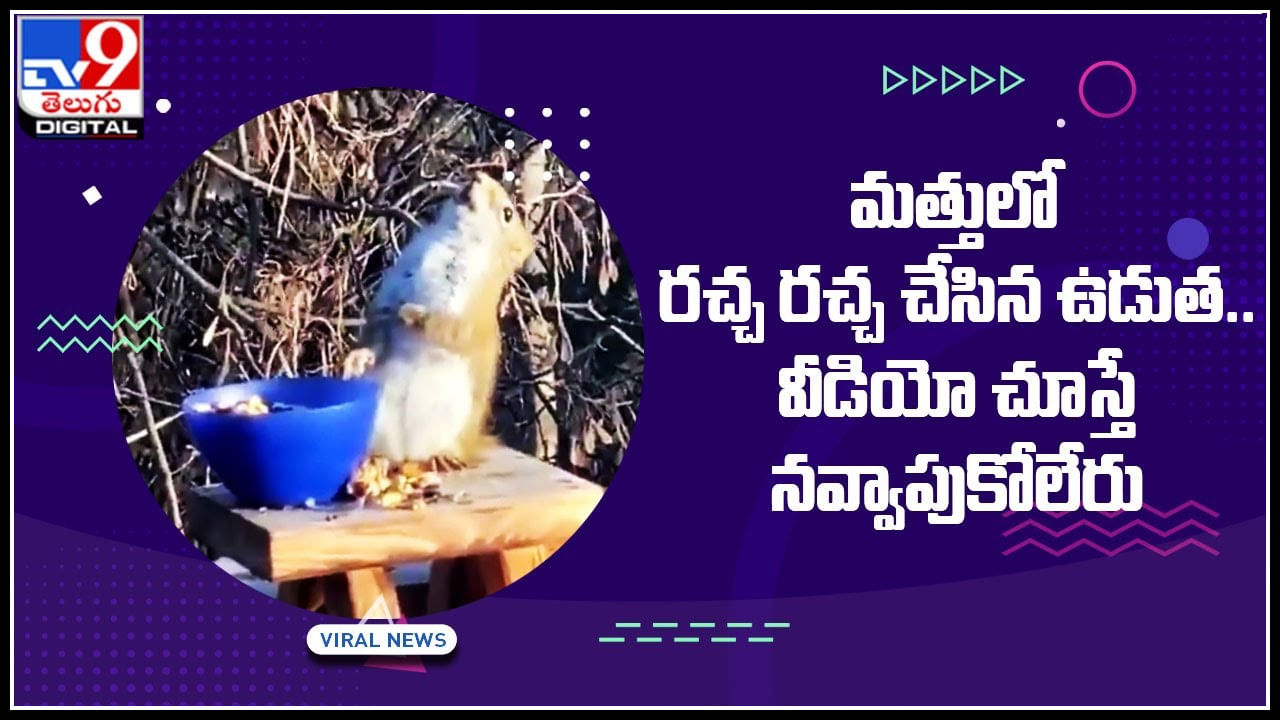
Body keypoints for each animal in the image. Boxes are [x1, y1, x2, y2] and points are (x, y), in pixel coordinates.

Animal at [343, 172, 536, 471]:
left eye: (507, 213)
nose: (477, 176)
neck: (451, 238)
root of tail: (406, 452)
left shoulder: (471, 308)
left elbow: (448, 330)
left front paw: (410, 312)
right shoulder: (392, 289)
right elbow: (378, 325)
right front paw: (358, 358)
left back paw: (442, 459)